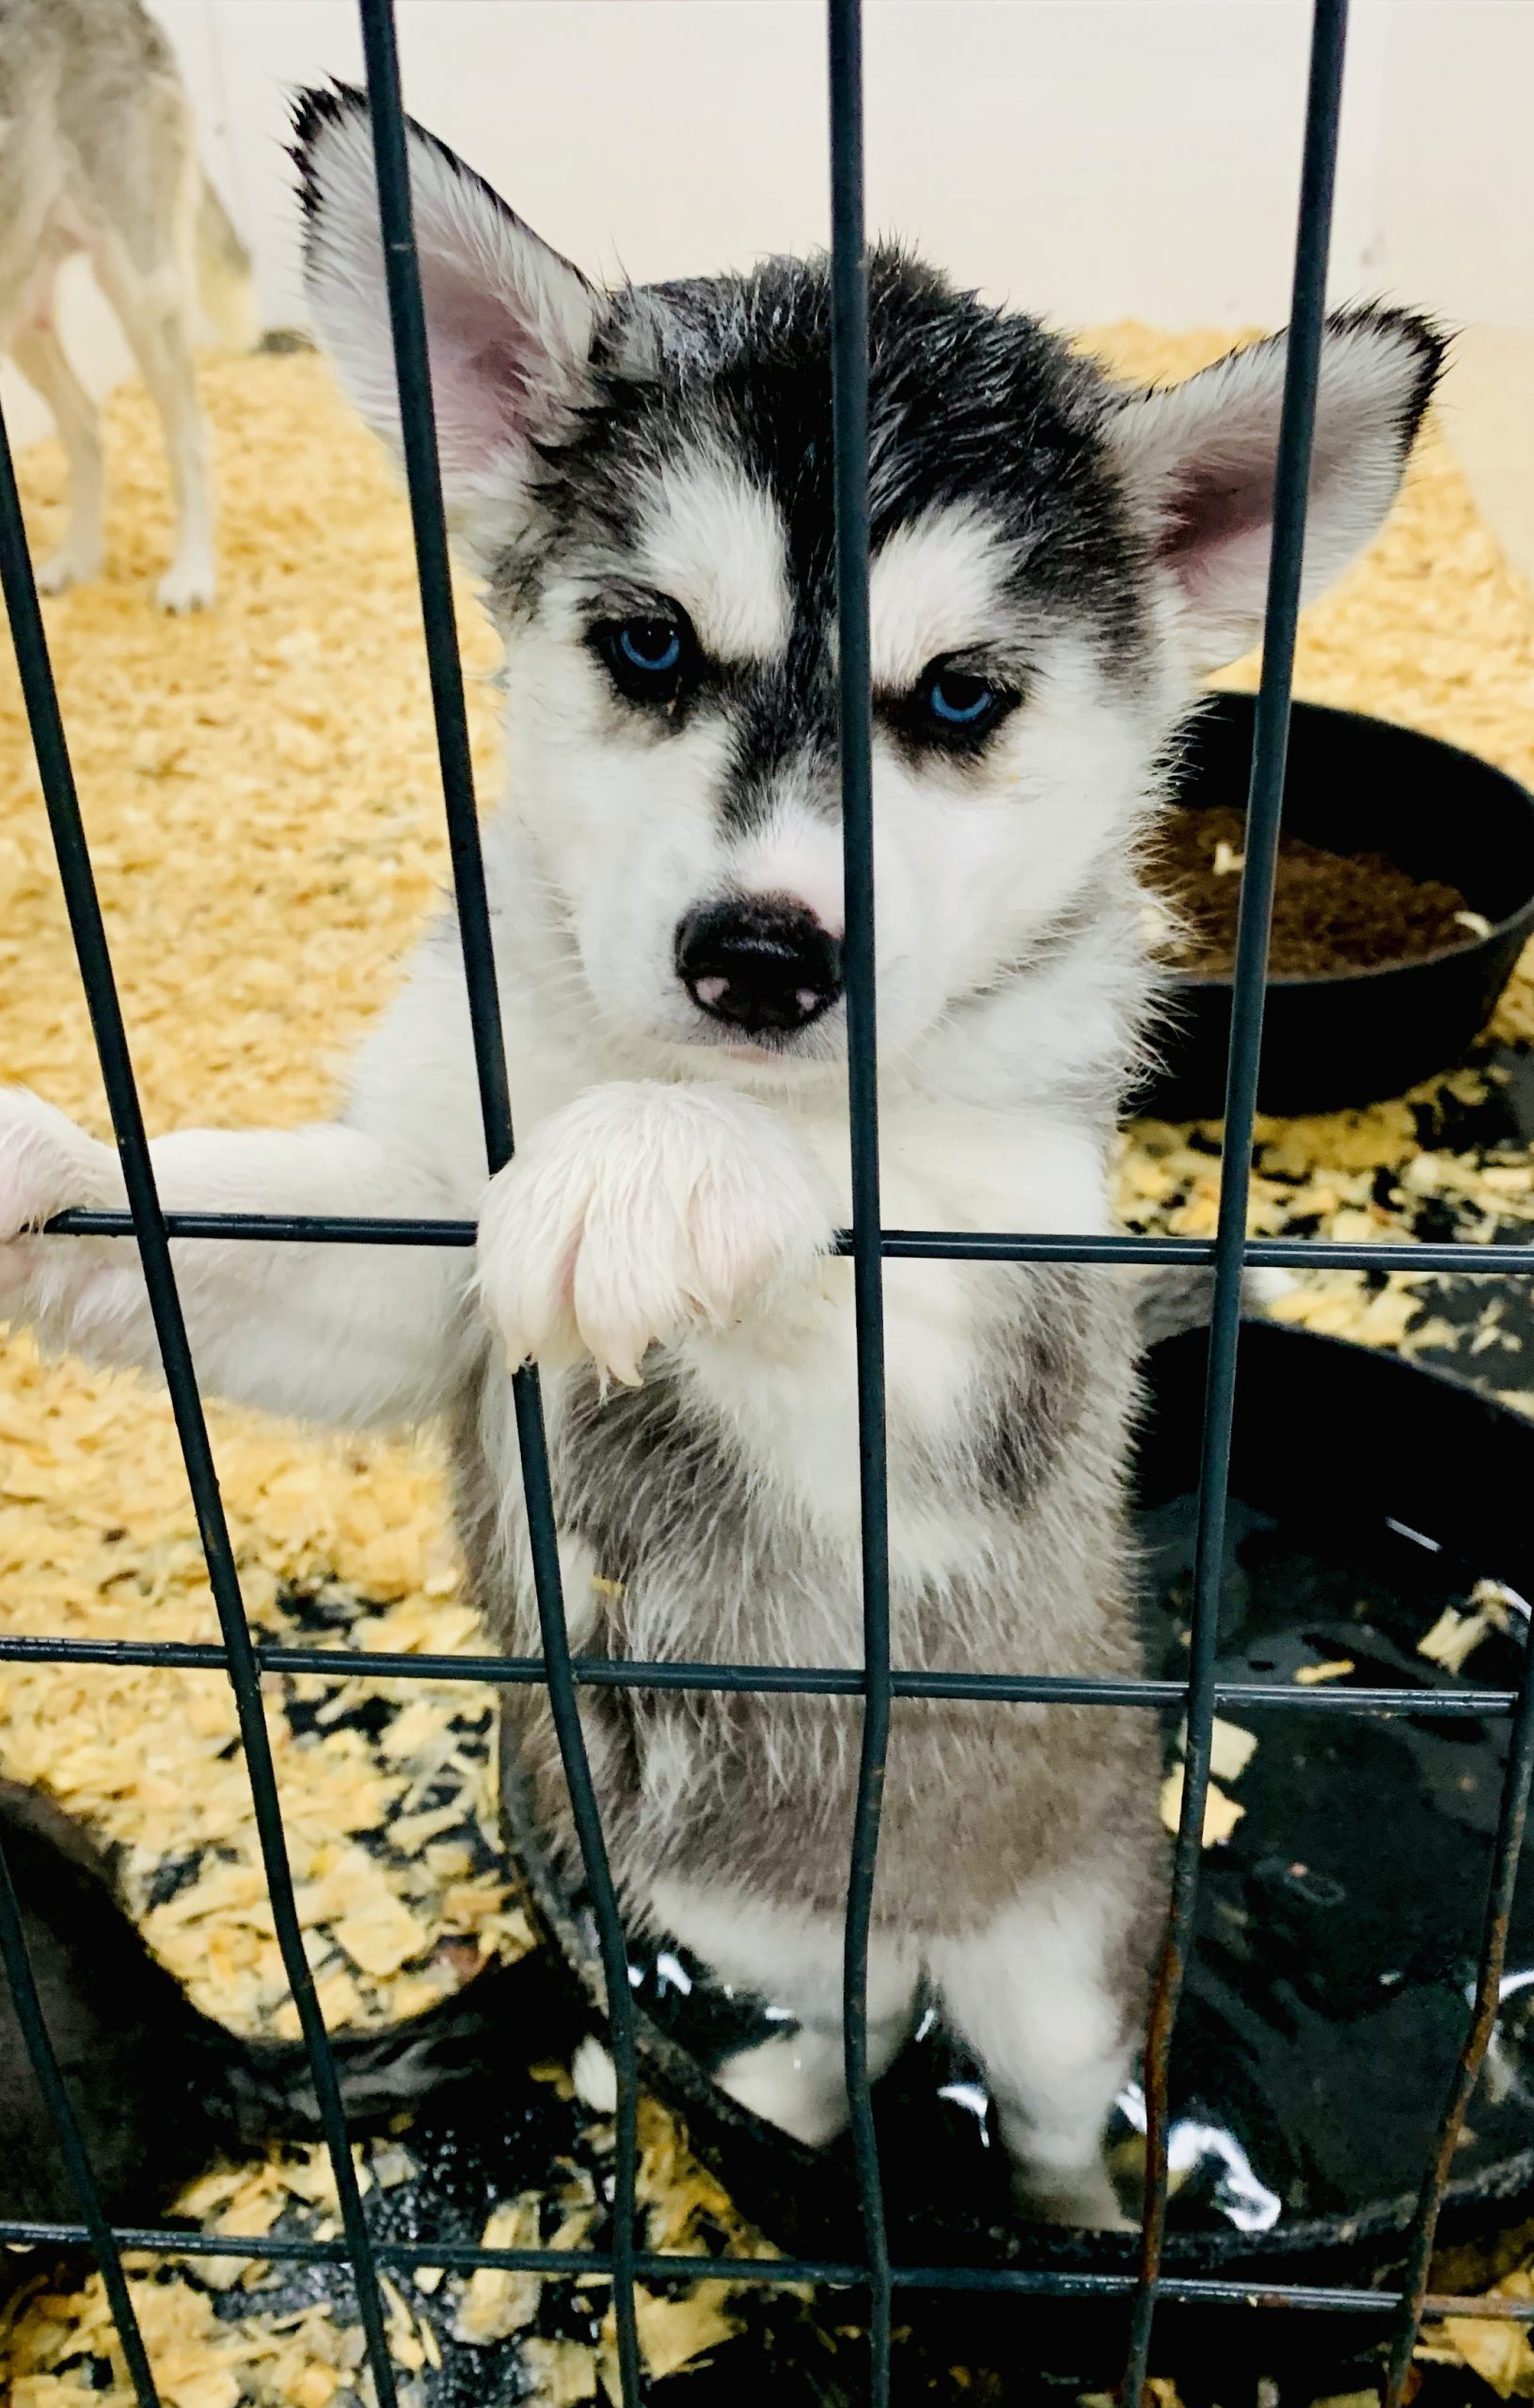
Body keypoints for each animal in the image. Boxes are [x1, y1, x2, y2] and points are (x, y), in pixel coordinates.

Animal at [0, 0, 257, 607]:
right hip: (23, 315)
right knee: (86, 425)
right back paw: (78, 557)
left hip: (139, 288)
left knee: (189, 437)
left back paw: (191, 574)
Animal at [0, 85, 1435, 2225]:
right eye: (651, 645)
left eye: (959, 696)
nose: (760, 955)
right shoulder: (416, 1242)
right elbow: (265, 1227)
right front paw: (36, 1159)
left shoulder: (977, 1354)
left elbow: (836, 1204)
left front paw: (669, 1161)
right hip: (784, 1943)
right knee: (833, 2040)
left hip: (1047, 1969)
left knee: (1044, 2105)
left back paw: (1080, 2228)